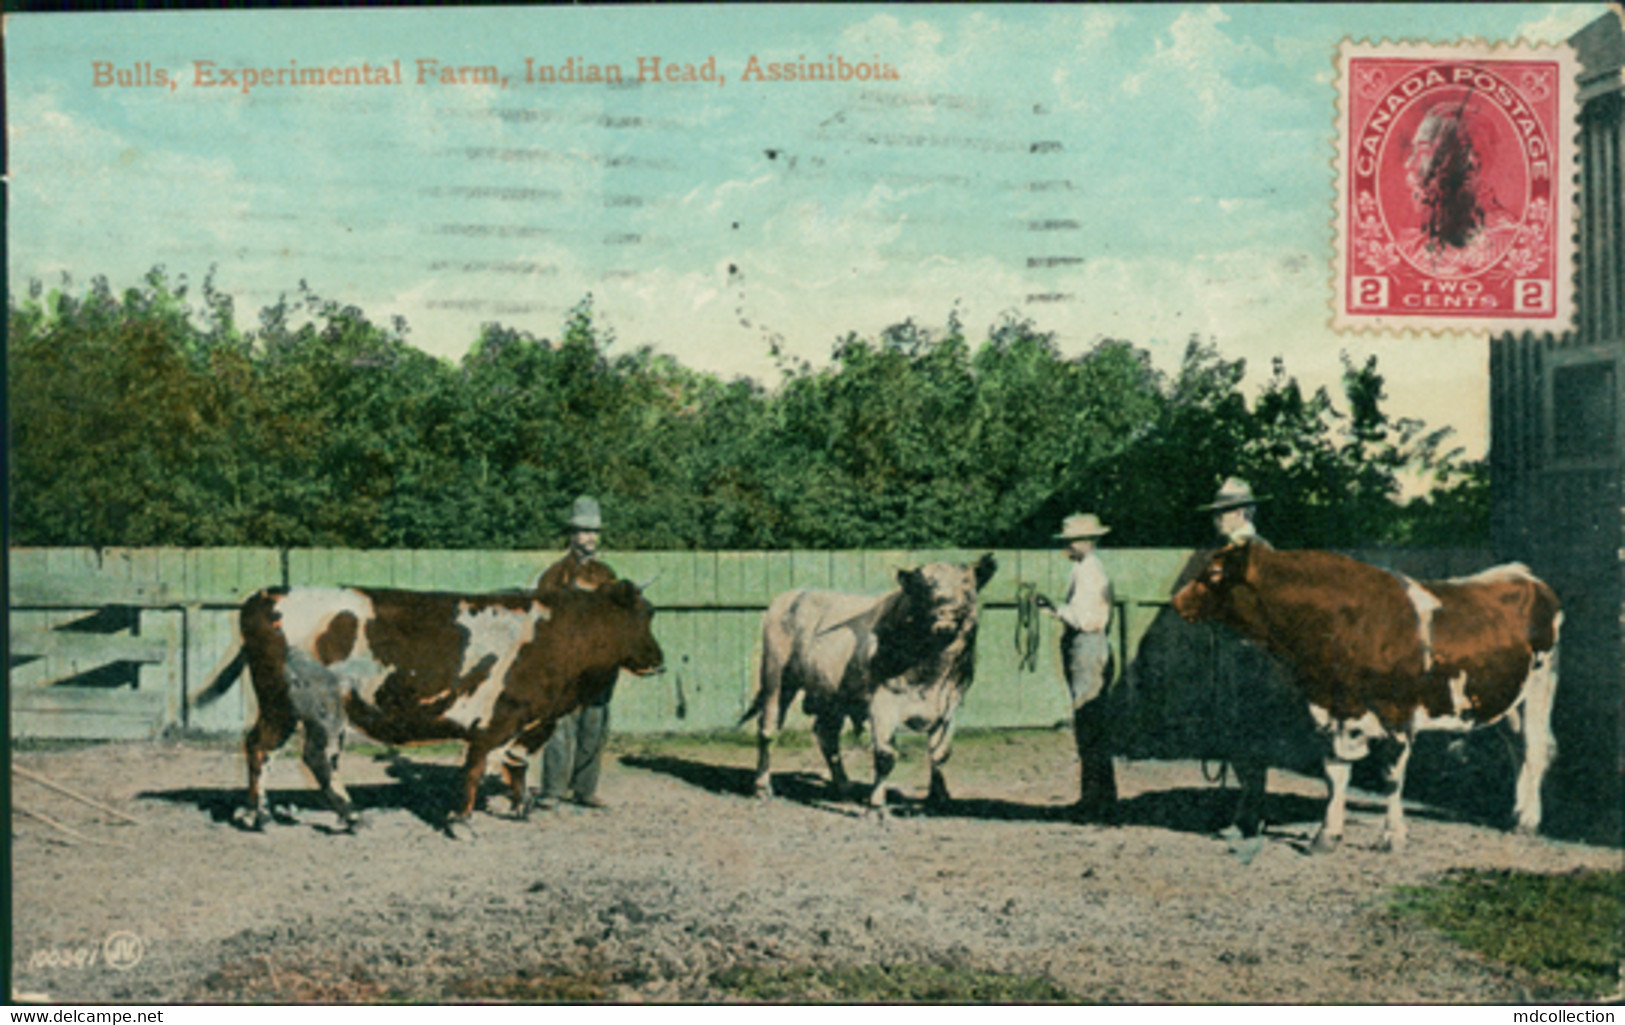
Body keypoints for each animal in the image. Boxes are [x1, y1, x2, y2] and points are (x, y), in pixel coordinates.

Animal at [196, 581, 659, 831]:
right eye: (641, 616)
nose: (659, 659)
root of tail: (268, 596)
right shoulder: (496, 717)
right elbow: (476, 768)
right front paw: (461, 821)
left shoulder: (529, 720)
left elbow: (516, 764)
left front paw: (521, 807)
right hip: (321, 705)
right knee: (319, 757)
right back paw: (350, 816)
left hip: (279, 705)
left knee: (259, 746)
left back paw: (257, 814)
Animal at [744, 558, 994, 815]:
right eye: (924, 587)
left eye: (967, 585)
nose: (945, 617)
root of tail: (792, 595)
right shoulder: (881, 703)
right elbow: (885, 755)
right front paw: (875, 805)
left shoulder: (950, 705)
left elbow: (940, 754)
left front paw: (939, 797)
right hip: (776, 677)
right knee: (768, 730)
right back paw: (762, 787)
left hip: (832, 696)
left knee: (827, 735)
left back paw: (843, 787)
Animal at [1176, 542, 1553, 851]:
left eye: (1214, 573)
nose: (1177, 600)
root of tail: (1523, 574)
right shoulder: (1333, 711)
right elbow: (1335, 775)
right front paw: (1326, 835)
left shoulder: (1398, 716)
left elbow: (1391, 779)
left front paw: (1392, 837)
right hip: (1503, 698)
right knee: (1517, 748)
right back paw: (1515, 813)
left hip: (1539, 686)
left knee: (1534, 749)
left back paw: (1528, 821)